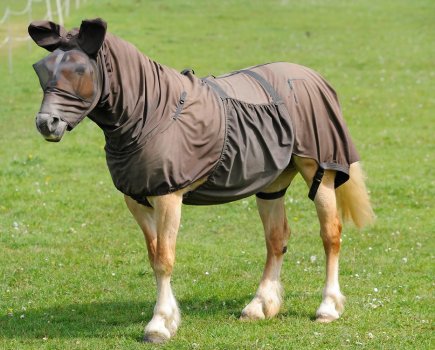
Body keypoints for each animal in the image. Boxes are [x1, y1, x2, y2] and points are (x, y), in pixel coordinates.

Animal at [29, 18, 374, 342]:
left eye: (79, 70)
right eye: (41, 69)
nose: (47, 123)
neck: (152, 115)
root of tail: (314, 78)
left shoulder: (168, 197)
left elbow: (164, 259)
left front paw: (159, 324)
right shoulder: (136, 199)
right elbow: (153, 255)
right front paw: (167, 318)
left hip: (319, 172)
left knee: (330, 235)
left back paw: (328, 307)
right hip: (271, 184)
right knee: (277, 239)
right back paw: (259, 305)